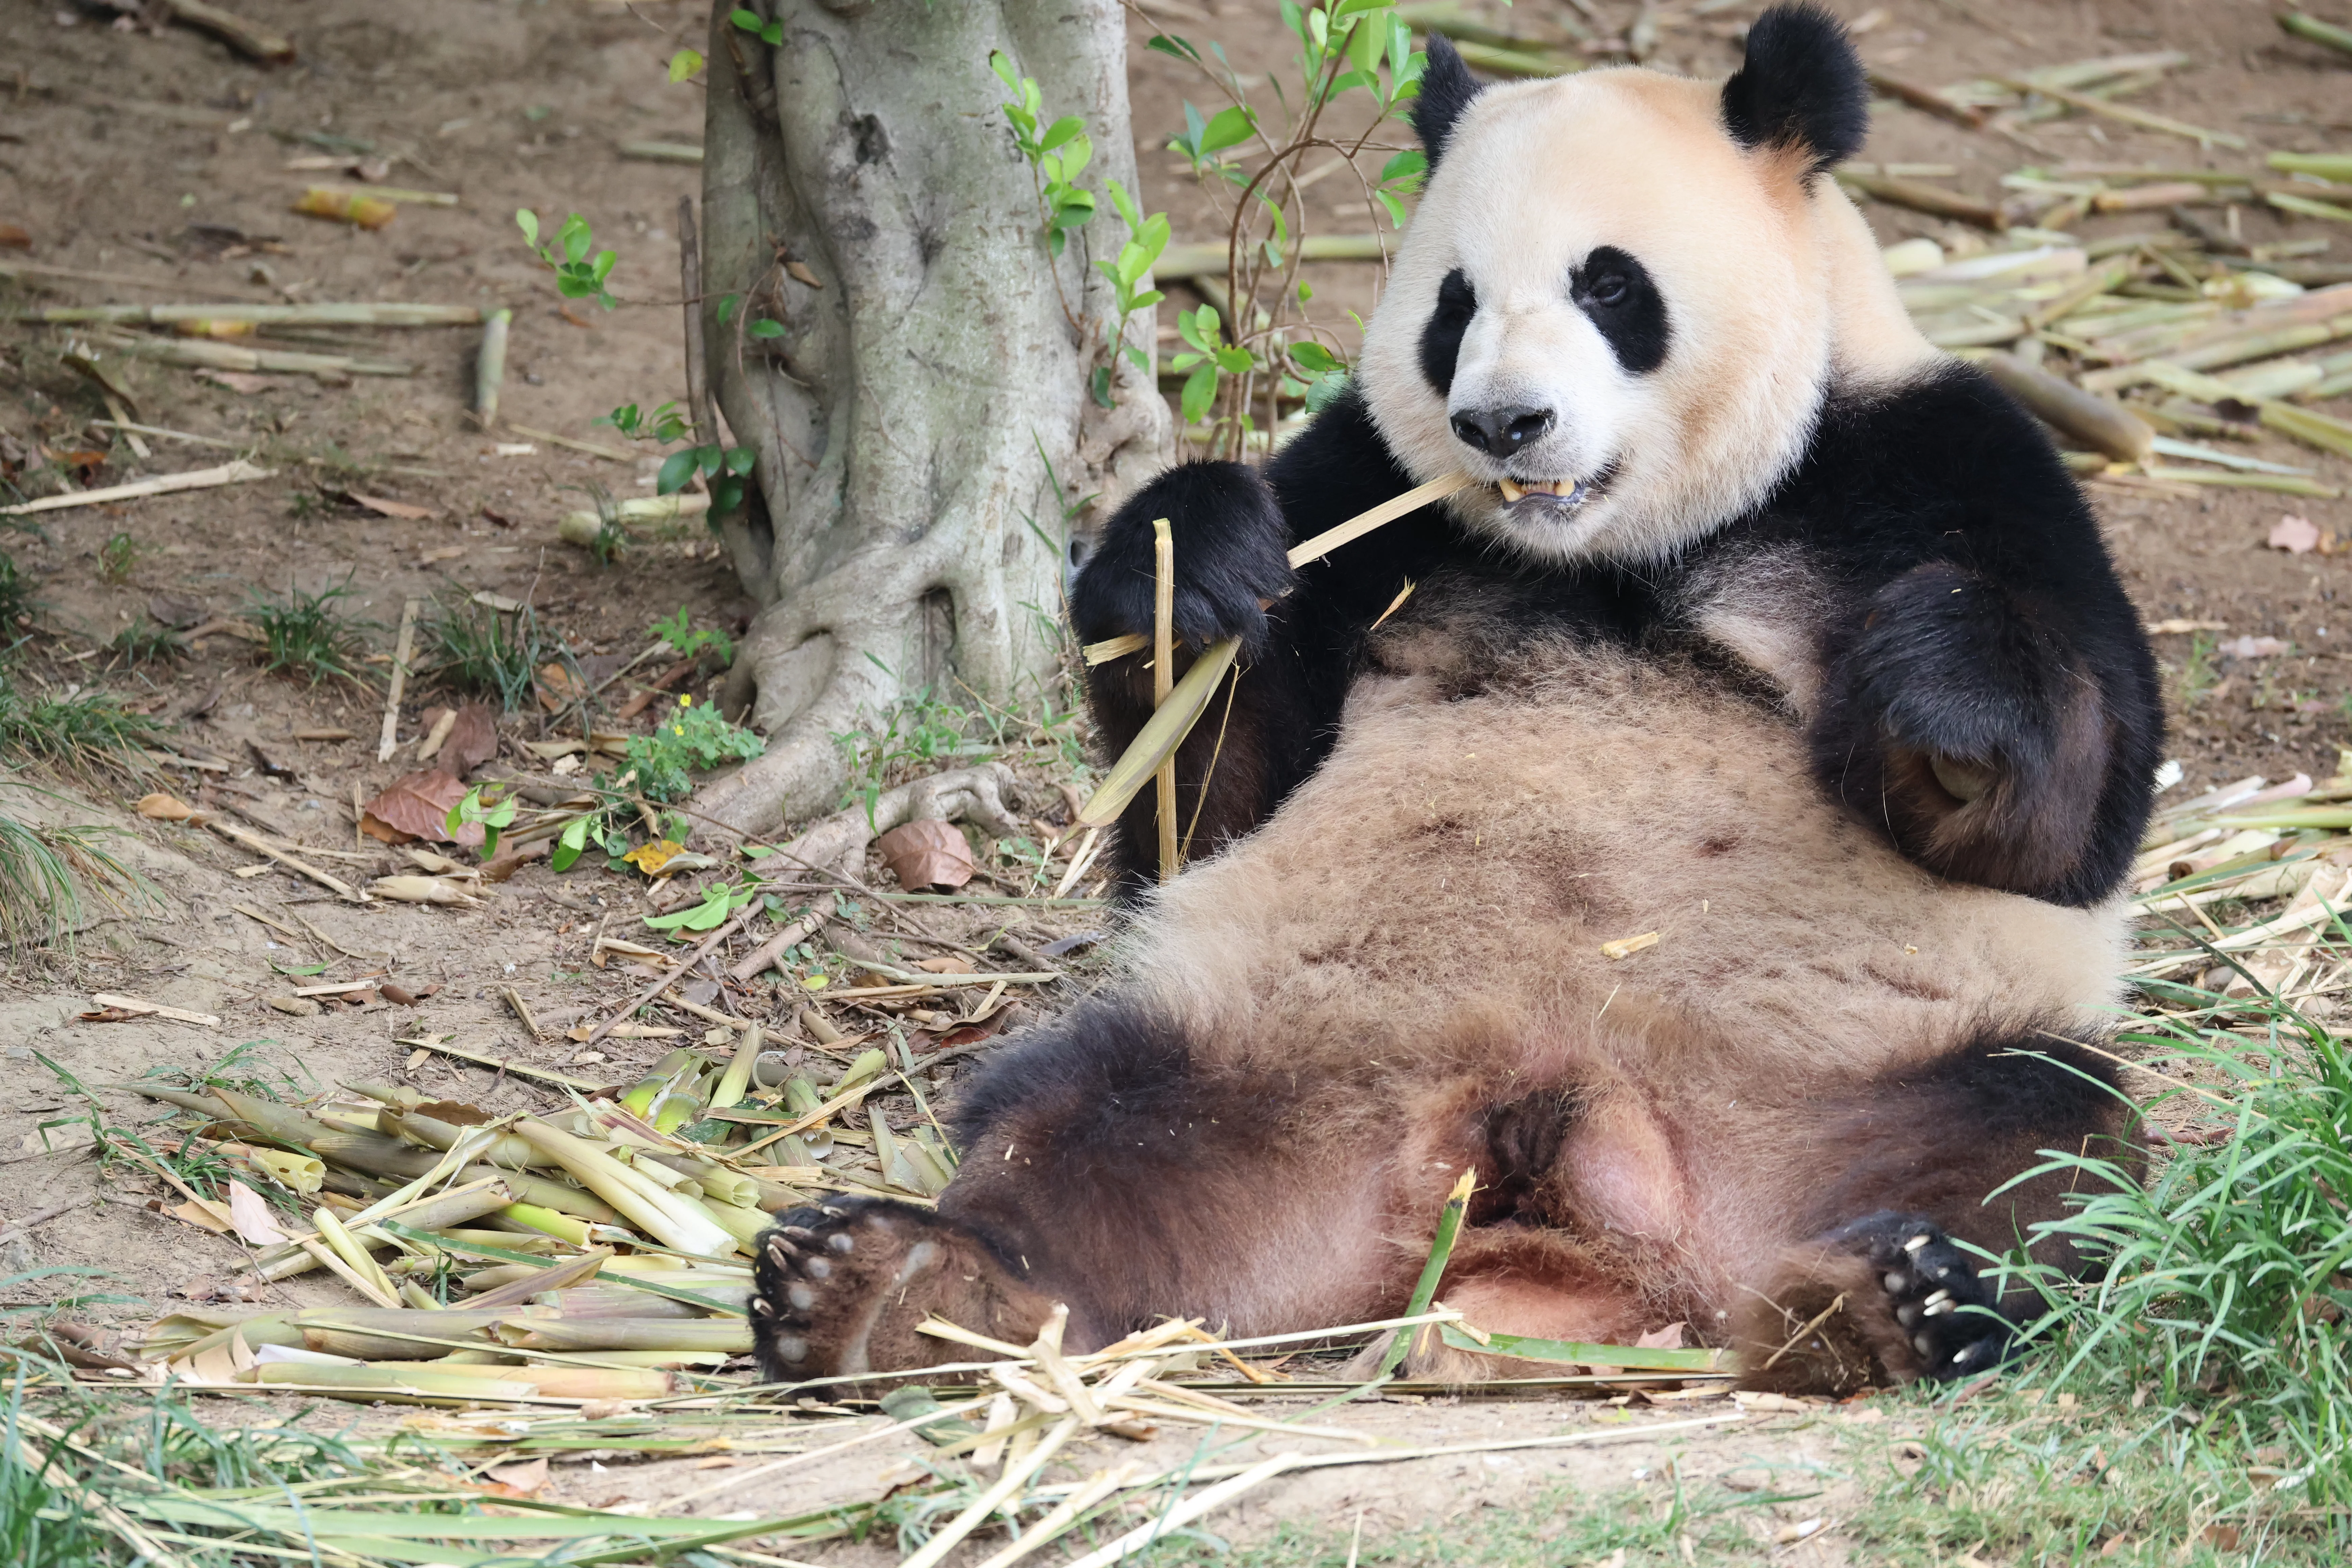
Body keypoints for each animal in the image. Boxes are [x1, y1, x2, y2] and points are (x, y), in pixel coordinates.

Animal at [751, 4, 2164, 1396]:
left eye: (1610, 285)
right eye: (1453, 304)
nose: (1501, 422)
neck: (1604, 550)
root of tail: (1547, 1181)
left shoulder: (1934, 453)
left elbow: (2071, 824)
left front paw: (1937, 680)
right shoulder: (1365, 486)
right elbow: (1201, 808)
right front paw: (1190, 564)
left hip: (1844, 1080)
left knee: (2043, 1138)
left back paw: (1883, 1299)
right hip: (1269, 1060)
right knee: (1071, 1118)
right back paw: (901, 1289)